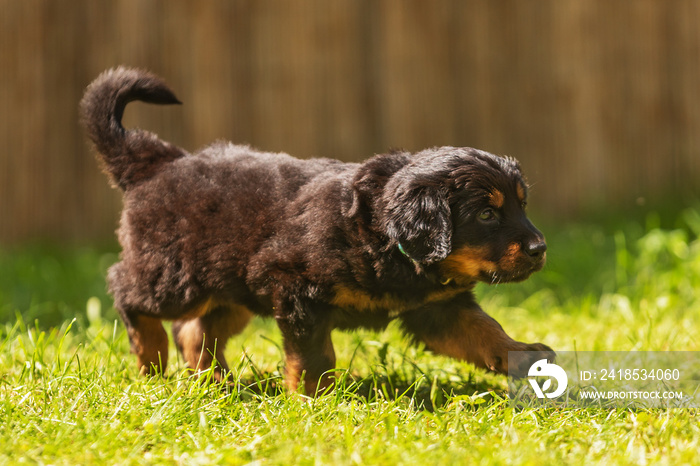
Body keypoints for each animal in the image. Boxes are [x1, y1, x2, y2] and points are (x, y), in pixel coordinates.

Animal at [80, 65, 552, 394]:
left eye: (522, 205)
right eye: (486, 215)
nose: (540, 248)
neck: (388, 241)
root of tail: (159, 162)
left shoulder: (438, 308)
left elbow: (485, 332)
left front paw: (527, 356)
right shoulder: (295, 289)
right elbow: (313, 355)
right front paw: (313, 401)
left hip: (232, 286)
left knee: (196, 332)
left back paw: (216, 384)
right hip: (175, 276)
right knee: (127, 291)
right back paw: (152, 364)